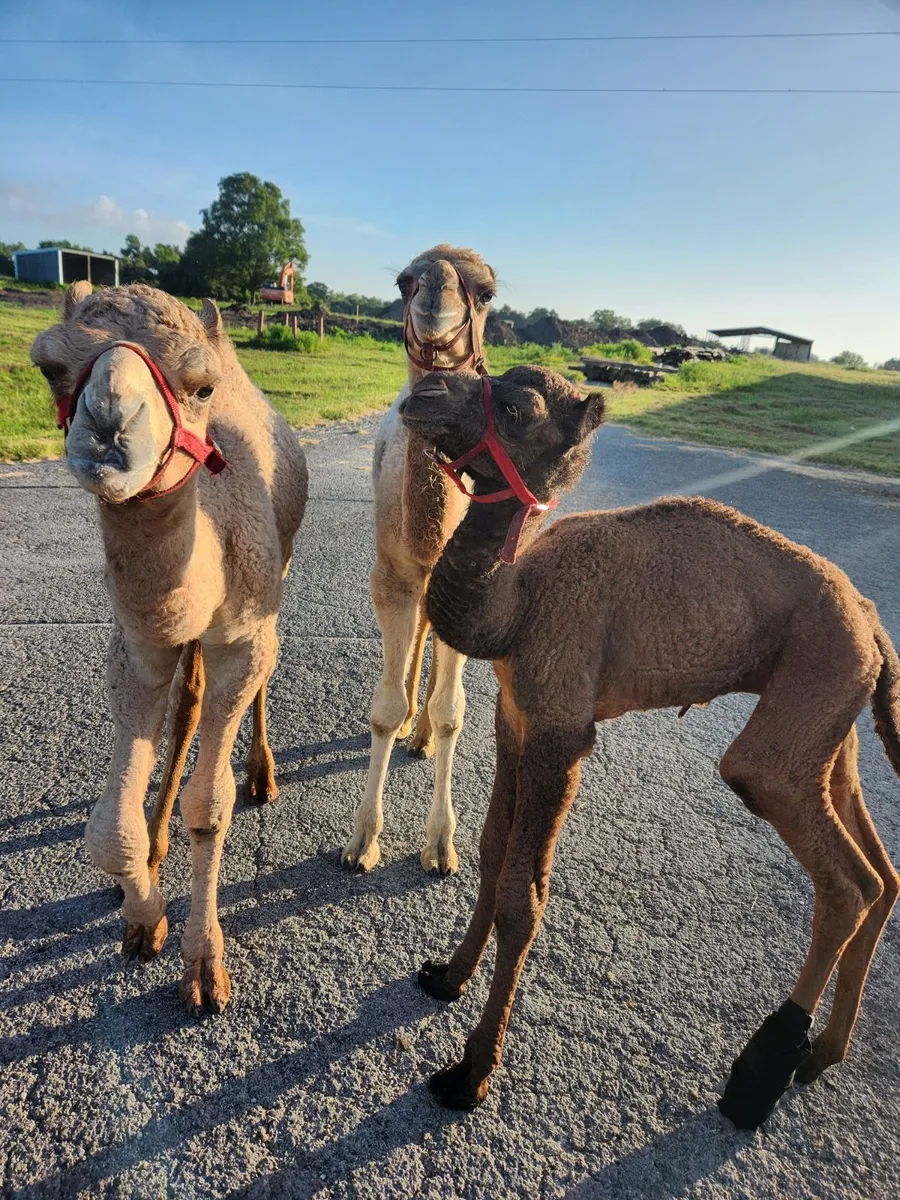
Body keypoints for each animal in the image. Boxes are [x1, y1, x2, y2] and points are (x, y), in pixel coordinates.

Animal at [31, 282, 308, 1014]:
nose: (108, 425)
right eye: (50, 367)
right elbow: (106, 829)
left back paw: (262, 773)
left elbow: (209, 808)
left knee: (254, 677)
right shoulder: (139, 645)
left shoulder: (243, 632)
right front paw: (141, 917)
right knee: (187, 701)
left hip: (281, 564)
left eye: (202, 386)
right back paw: (156, 842)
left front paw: (204, 967)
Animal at [401, 366, 900, 1127]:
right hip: (832, 706)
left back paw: (758, 1077)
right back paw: (821, 1055)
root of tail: (874, 624)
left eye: (517, 409)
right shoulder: (515, 720)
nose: (422, 390)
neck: (517, 604)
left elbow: (524, 896)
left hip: (811, 689)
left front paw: (469, 1074)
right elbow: (490, 854)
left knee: (842, 875)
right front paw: (446, 976)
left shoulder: (561, 732)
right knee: (881, 871)